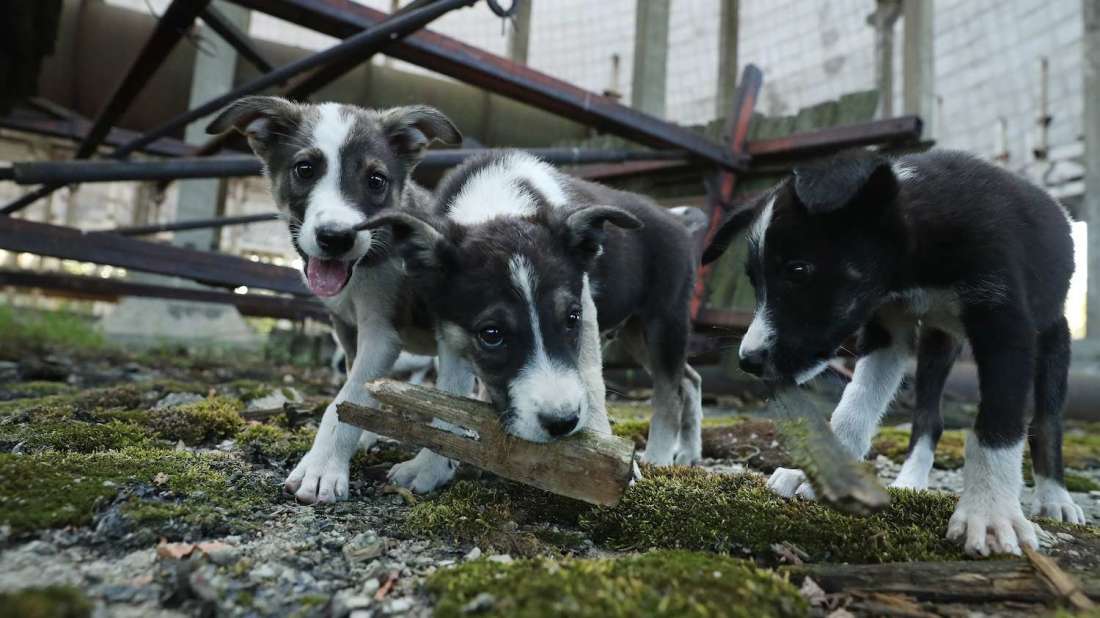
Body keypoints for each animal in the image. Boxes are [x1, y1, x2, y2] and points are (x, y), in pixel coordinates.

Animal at [204, 96, 470, 501]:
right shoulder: (347, 329)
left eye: (376, 180)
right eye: (304, 169)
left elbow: (344, 400)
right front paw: (362, 436)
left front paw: (321, 469)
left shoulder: (381, 333)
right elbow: (355, 390)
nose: (336, 237)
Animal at [363, 150, 704, 461]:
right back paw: (688, 452)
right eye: (491, 334)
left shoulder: (587, 313)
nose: (562, 424)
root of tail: (676, 218)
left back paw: (658, 459)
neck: (496, 202)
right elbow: (451, 389)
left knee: (670, 396)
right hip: (634, 332)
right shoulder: (450, 328)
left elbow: (592, 382)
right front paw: (428, 470)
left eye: (571, 318)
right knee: (690, 379)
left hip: (665, 320)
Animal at [704, 148, 1082, 554]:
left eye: (798, 270)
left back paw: (1055, 497)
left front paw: (991, 513)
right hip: (937, 341)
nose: (748, 361)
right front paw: (830, 474)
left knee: (1046, 421)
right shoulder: (887, 328)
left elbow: (998, 423)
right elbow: (854, 407)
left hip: (1053, 335)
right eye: (754, 281)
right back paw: (911, 480)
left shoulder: (1006, 328)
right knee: (929, 418)